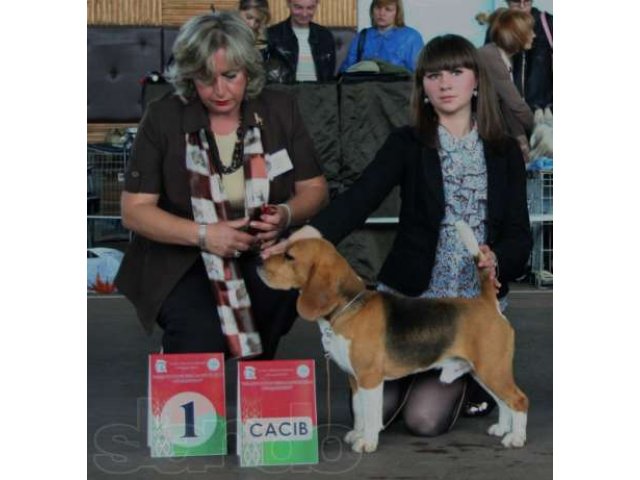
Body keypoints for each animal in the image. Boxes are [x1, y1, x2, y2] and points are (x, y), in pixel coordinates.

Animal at [258, 229, 528, 454]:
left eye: (289, 256)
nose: (260, 261)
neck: (349, 307)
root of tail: (486, 302)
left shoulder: (369, 378)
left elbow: (370, 413)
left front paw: (366, 442)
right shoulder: (355, 379)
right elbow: (359, 411)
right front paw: (357, 433)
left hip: (492, 369)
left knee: (518, 400)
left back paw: (516, 438)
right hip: (482, 371)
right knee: (504, 402)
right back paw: (503, 429)